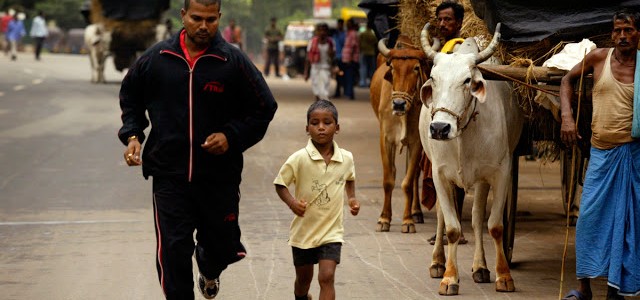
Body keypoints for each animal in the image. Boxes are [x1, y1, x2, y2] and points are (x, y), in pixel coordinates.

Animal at [370, 34, 436, 232]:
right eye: (392, 67)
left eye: (416, 68)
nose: (399, 104)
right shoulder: (386, 140)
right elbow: (388, 179)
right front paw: (384, 219)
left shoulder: (416, 142)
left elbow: (407, 181)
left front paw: (407, 221)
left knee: (413, 176)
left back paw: (416, 212)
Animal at [418, 24, 524, 296]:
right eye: (433, 78)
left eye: (467, 81)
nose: (439, 128)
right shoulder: (439, 175)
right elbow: (453, 228)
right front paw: (449, 278)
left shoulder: (501, 173)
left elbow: (494, 226)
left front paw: (503, 275)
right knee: (443, 218)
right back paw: (437, 262)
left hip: (482, 181)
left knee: (477, 218)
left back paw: (481, 267)